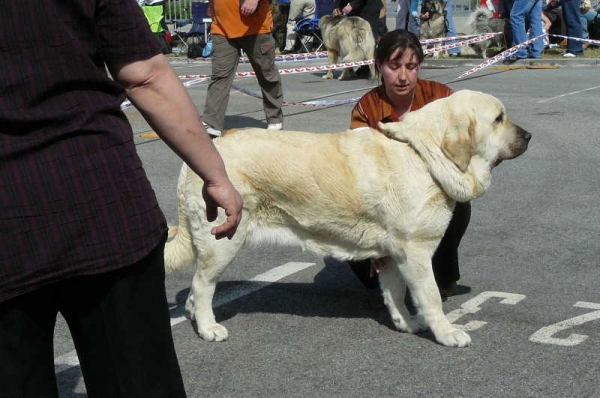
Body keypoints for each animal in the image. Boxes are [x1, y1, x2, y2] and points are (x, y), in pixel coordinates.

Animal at [166, 91, 532, 348]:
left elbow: (395, 293)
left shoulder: (394, 255)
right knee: (202, 285)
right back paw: (209, 328)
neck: (423, 154)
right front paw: (446, 333)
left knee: (197, 292)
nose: (528, 135)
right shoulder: (416, 253)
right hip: (222, 243)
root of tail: (196, 160)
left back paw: (198, 320)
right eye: (498, 118)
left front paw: (405, 324)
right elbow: (430, 297)